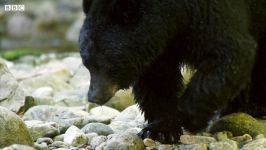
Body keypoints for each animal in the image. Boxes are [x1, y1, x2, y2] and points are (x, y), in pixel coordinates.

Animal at [78, 0, 266, 143]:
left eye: (109, 63)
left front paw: (189, 117)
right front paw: (160, 130)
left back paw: (255, 106)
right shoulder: (161, 43)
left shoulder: (213, 13)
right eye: (87, 63)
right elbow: (157, 80)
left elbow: (229, 54)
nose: (94, 97)